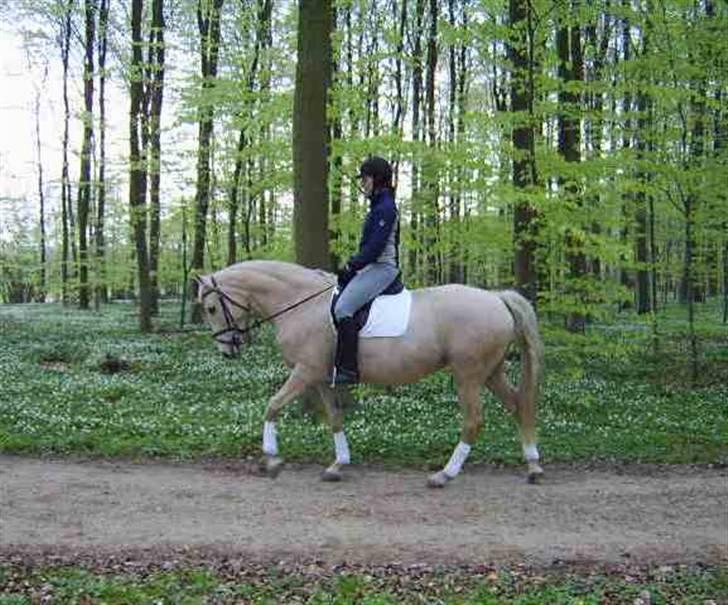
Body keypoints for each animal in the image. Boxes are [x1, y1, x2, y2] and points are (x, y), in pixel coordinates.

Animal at [196, 260, 544, 487]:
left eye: (211, 309)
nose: (227, 350)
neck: (301, 305)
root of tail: (496, 298)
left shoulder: (305, 372)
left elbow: (272, 405)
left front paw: (271, 460)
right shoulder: (322, 378)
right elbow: (335, 418)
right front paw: (337, 465)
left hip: (468, 375)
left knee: (474, 420)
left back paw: (445, 474)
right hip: (491, 372)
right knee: (518, 406)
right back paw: (533, 466)